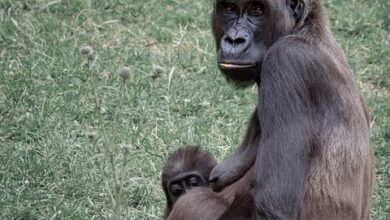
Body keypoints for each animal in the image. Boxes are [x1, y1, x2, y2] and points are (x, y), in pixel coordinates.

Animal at [167, 0, 372, 220]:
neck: (304, 29)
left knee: (192, 201)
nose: (234, 40)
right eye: (229, 8)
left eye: (257, 10)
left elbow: (274, 209)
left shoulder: (286, 62)